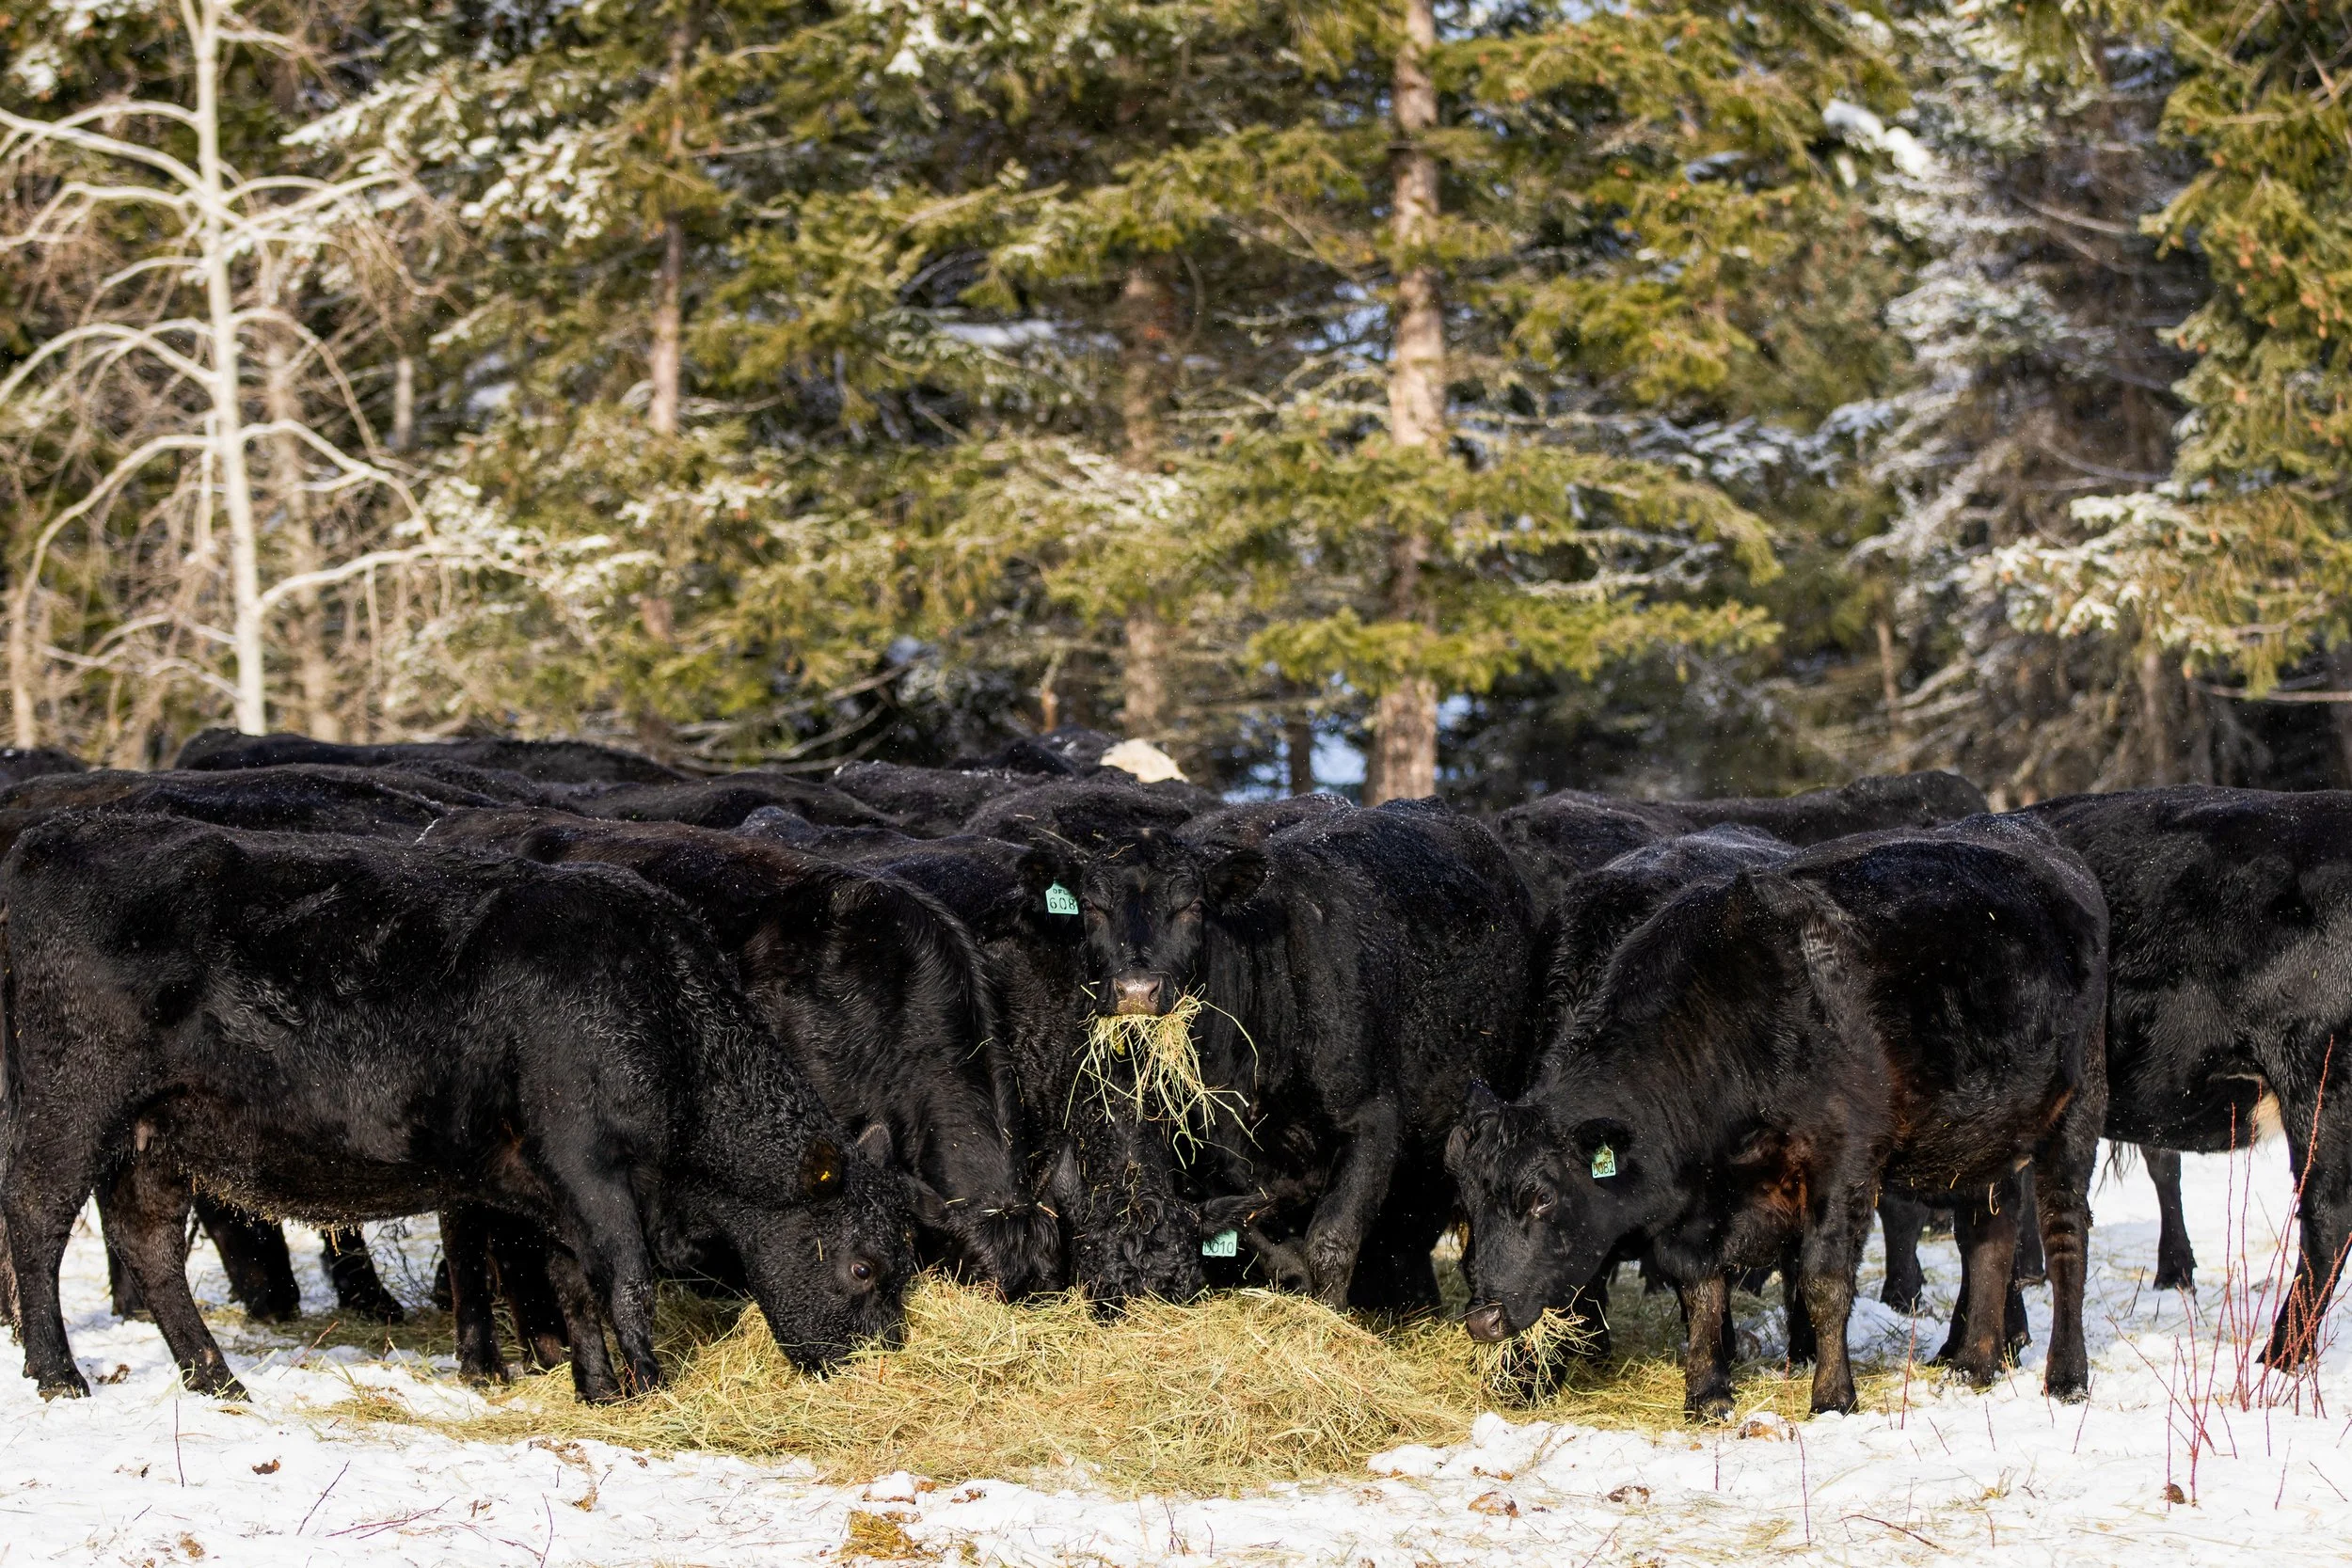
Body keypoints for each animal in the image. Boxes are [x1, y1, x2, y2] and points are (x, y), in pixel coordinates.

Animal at [1, 813, 912, 1402]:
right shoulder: (590, 1165)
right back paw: (59, 1373)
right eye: (863, 1266)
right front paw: (653, 1387)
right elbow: (626, 1282)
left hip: (155, 1137)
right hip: (69, 1104)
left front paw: (600, 1390)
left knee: (151, 1248)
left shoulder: (551, 1187)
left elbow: (571, 1285)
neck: (658, 1006)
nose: (886, 1362)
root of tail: (54, 839)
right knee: (37, 1223)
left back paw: (217, 1379)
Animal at [1055, 797, 1541, 1310]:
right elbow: (1255, 1234)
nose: (1135, 991)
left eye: (1191, 906)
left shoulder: (1373, 1118)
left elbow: (1332, 1239)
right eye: (1091, 906)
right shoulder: (1209, 1155)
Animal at [1449, 817, 2109, 1420]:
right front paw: (1708, 1396)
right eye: (1470, 1204)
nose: (1483, 1319)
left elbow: (1824, 1281)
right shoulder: (1699, 1205)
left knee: (2064, 1239)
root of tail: (2029, 835)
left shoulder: (1845, 1162)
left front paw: (1832, 1398)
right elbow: (1702, 1287)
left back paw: (2066, 1377)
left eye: (1541, 1197)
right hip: (1981, 1136)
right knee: (1988, 1237)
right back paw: (1972, 1363)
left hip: (2078, 1112)